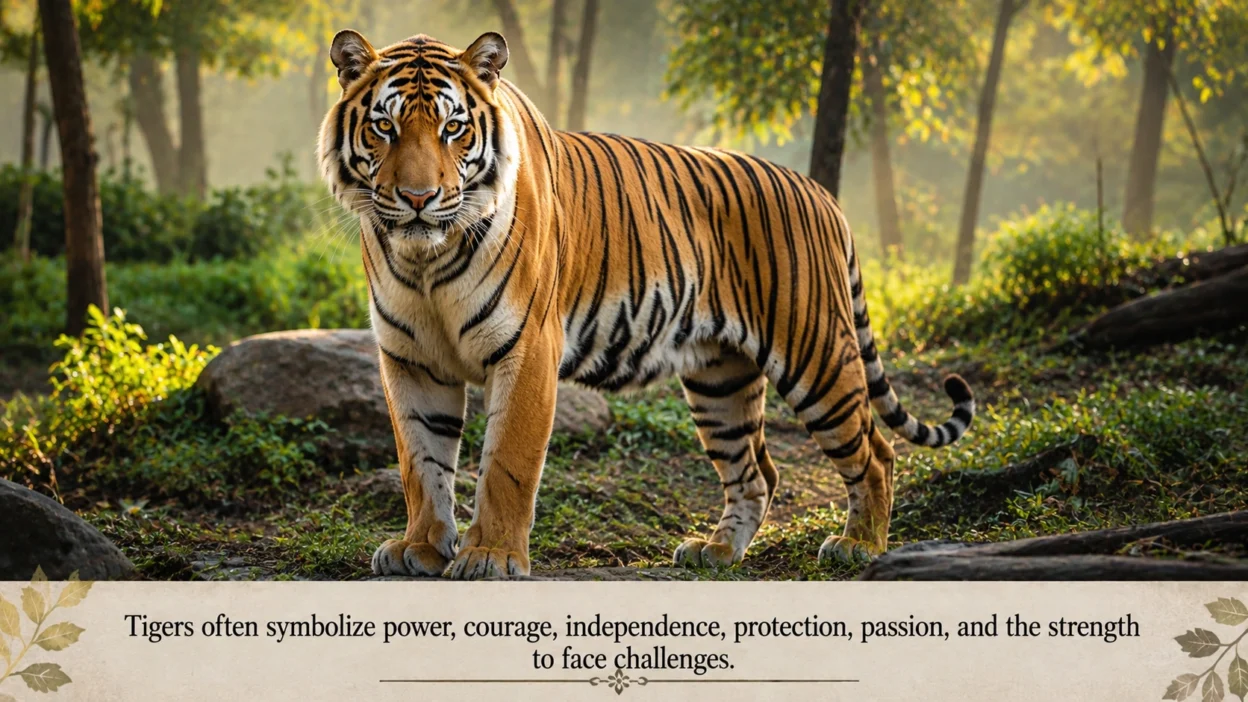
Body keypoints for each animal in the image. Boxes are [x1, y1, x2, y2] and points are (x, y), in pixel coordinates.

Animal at [318, 29, 975, 580]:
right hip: (719, 378)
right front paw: (421, 548)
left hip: (815, 354)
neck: (424, 261)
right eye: (384, 128)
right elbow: (421, 462)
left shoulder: (528, 349)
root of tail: (820, 193)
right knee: (757, 471)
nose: (418, 198)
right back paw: (717, 550)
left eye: (453, 129)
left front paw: (491, 557)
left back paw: (859, 545)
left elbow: (505, 462)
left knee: (877, 451)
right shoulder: (411, 360)